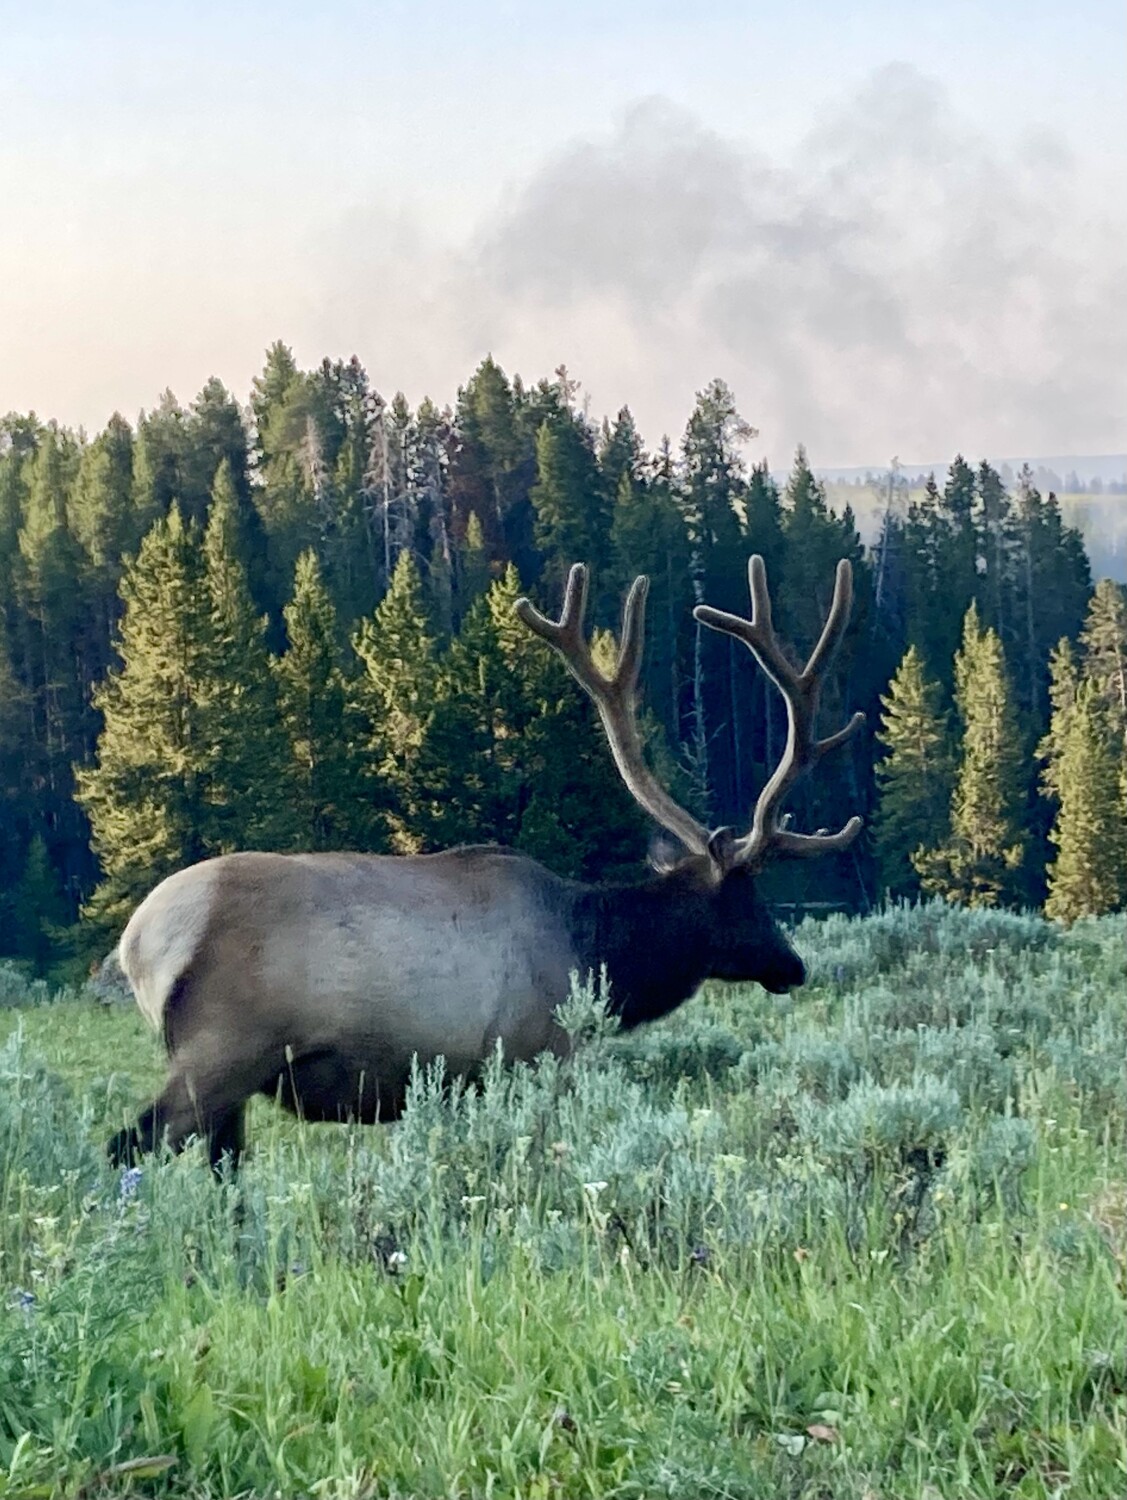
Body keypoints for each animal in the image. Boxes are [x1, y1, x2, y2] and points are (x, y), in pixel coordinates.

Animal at [107, 555, 864, 1171]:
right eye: (749, 898)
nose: (793, 965)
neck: (599, 958)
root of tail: (139, 942)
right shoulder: (536, 1050)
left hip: (227, 1077)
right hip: (223, 1049)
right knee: (127, 1145)